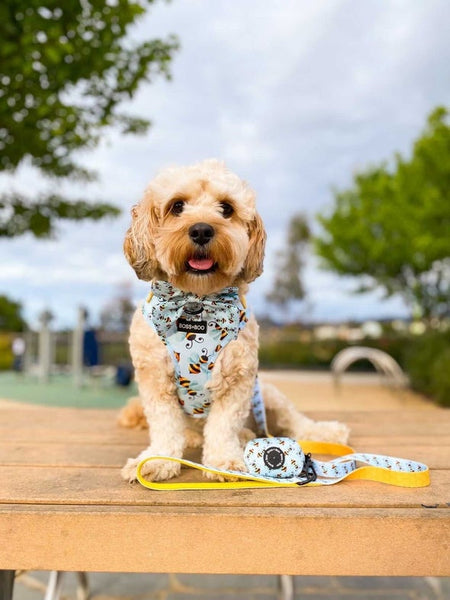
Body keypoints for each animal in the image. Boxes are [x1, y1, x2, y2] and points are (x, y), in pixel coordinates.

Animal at [118, 159, 348, 482]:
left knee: (295, 422)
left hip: (268, 394)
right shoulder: (155, 380)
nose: (202, 230)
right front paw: (157, 460)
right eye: (177, 206)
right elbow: (165, 427)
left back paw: (324, 431)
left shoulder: (238, 380)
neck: (197, 304)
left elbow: (223, 426)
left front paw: (223, 461)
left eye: (226, 208)